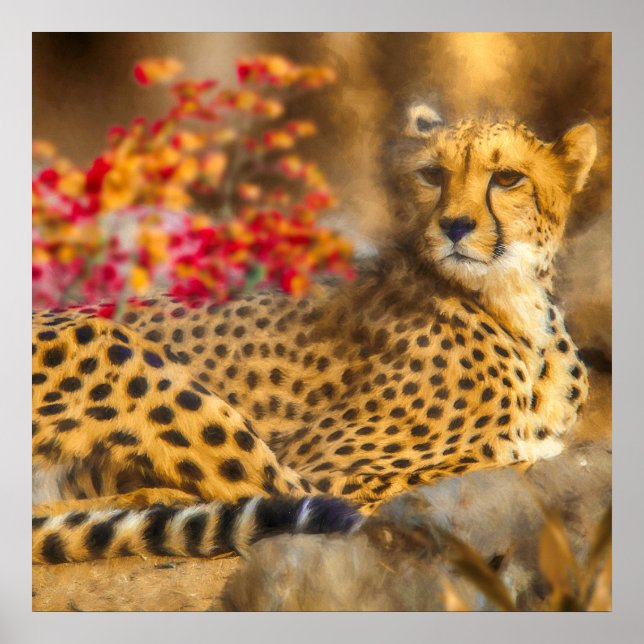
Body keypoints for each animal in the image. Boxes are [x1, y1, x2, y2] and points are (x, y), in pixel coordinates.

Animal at [32, 103, 597, 564]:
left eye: (507, 178)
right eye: (433, 174)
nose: (455, 226)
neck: (514, 303)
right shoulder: (334, 471)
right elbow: (499, 459)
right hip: (116, 346)